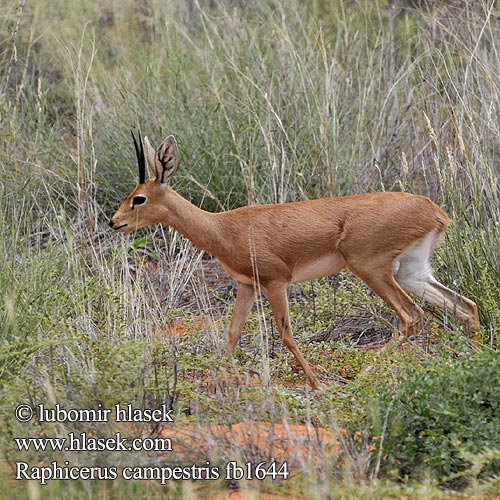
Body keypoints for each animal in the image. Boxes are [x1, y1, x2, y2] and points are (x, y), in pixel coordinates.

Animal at [110, 133, 480, 390]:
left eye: (138, 198)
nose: (115, 222)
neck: (224, 227)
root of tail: (433, 209)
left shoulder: (276, 282)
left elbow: (286, 334)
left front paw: (316, 384)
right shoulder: (247, 284)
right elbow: (232, 332)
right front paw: (217, 379)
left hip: (372, 269)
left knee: (411, 316)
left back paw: (364, 375)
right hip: (411, 273)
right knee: (466, 307)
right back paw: (473, 361)